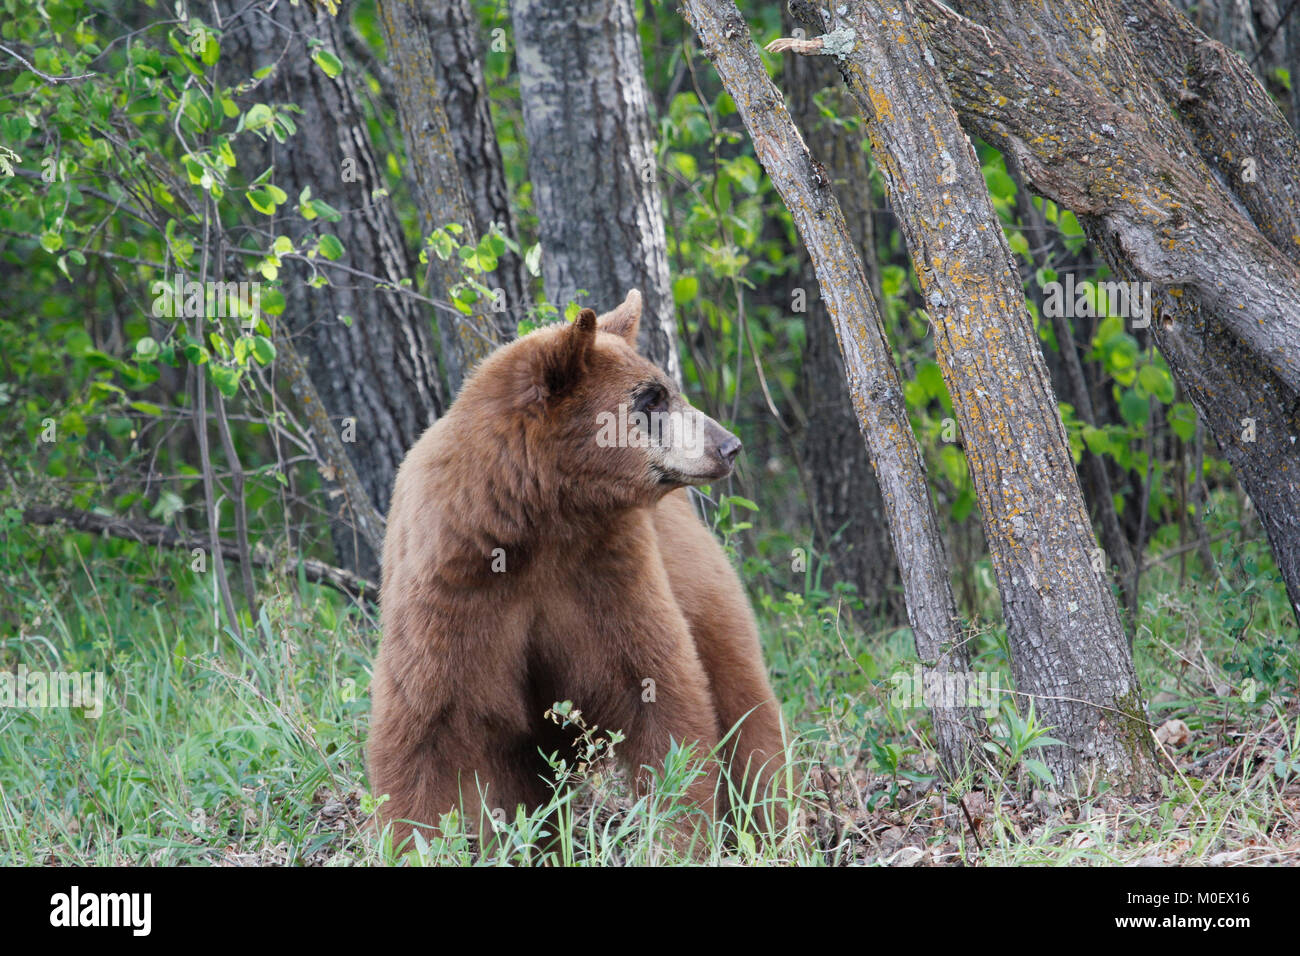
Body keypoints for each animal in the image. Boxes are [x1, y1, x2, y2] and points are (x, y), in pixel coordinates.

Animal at [371, 287, 785, 848]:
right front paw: (410, 840)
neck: (540, 522)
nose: (729, 445)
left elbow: (661, 693)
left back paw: (774, 825)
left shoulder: (608, 572)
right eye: (651, 398)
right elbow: (420, 729)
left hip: (701, 587)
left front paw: (678, 834)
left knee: (746, 708)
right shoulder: (450, 588)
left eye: (667, 389)